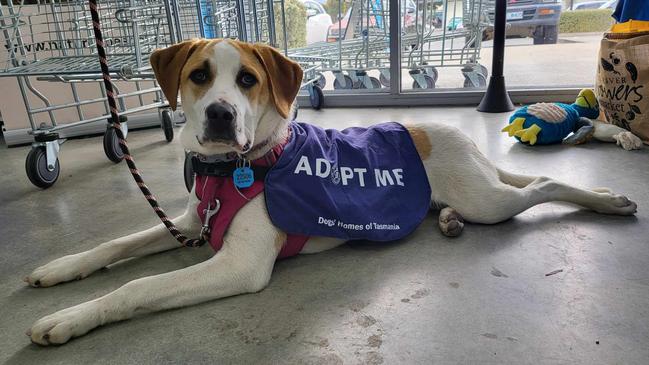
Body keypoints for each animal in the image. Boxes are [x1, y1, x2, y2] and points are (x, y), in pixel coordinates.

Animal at [22, 39, 636, 344]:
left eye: (247, 80)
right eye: (199, 76)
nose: (220, 116)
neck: (236, 168)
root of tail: (455, 135)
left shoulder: (240, 266)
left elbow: (139, 284)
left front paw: (69, 318)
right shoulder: (194, 222)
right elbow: (116, 245)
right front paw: (60, 269)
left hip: (488, 200)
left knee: (543, 184)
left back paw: (610, 200)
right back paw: (444, 221)